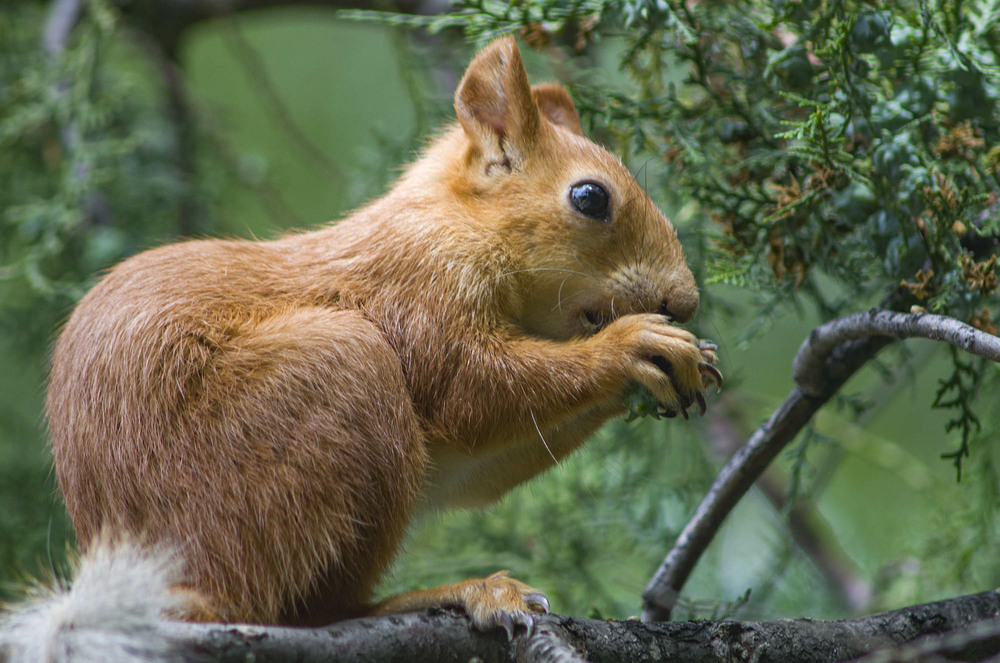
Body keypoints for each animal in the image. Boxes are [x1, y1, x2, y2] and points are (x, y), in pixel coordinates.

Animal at [1, 35, 720, 652]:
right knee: (308, 609)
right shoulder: (420, 295)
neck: (454, 226)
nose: (684, 300)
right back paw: (450, 592)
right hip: (330, 382)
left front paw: (687, 361)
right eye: (590, 197)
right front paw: (631, 346)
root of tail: (176, 588)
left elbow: (475, 466)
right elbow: (473, 391)